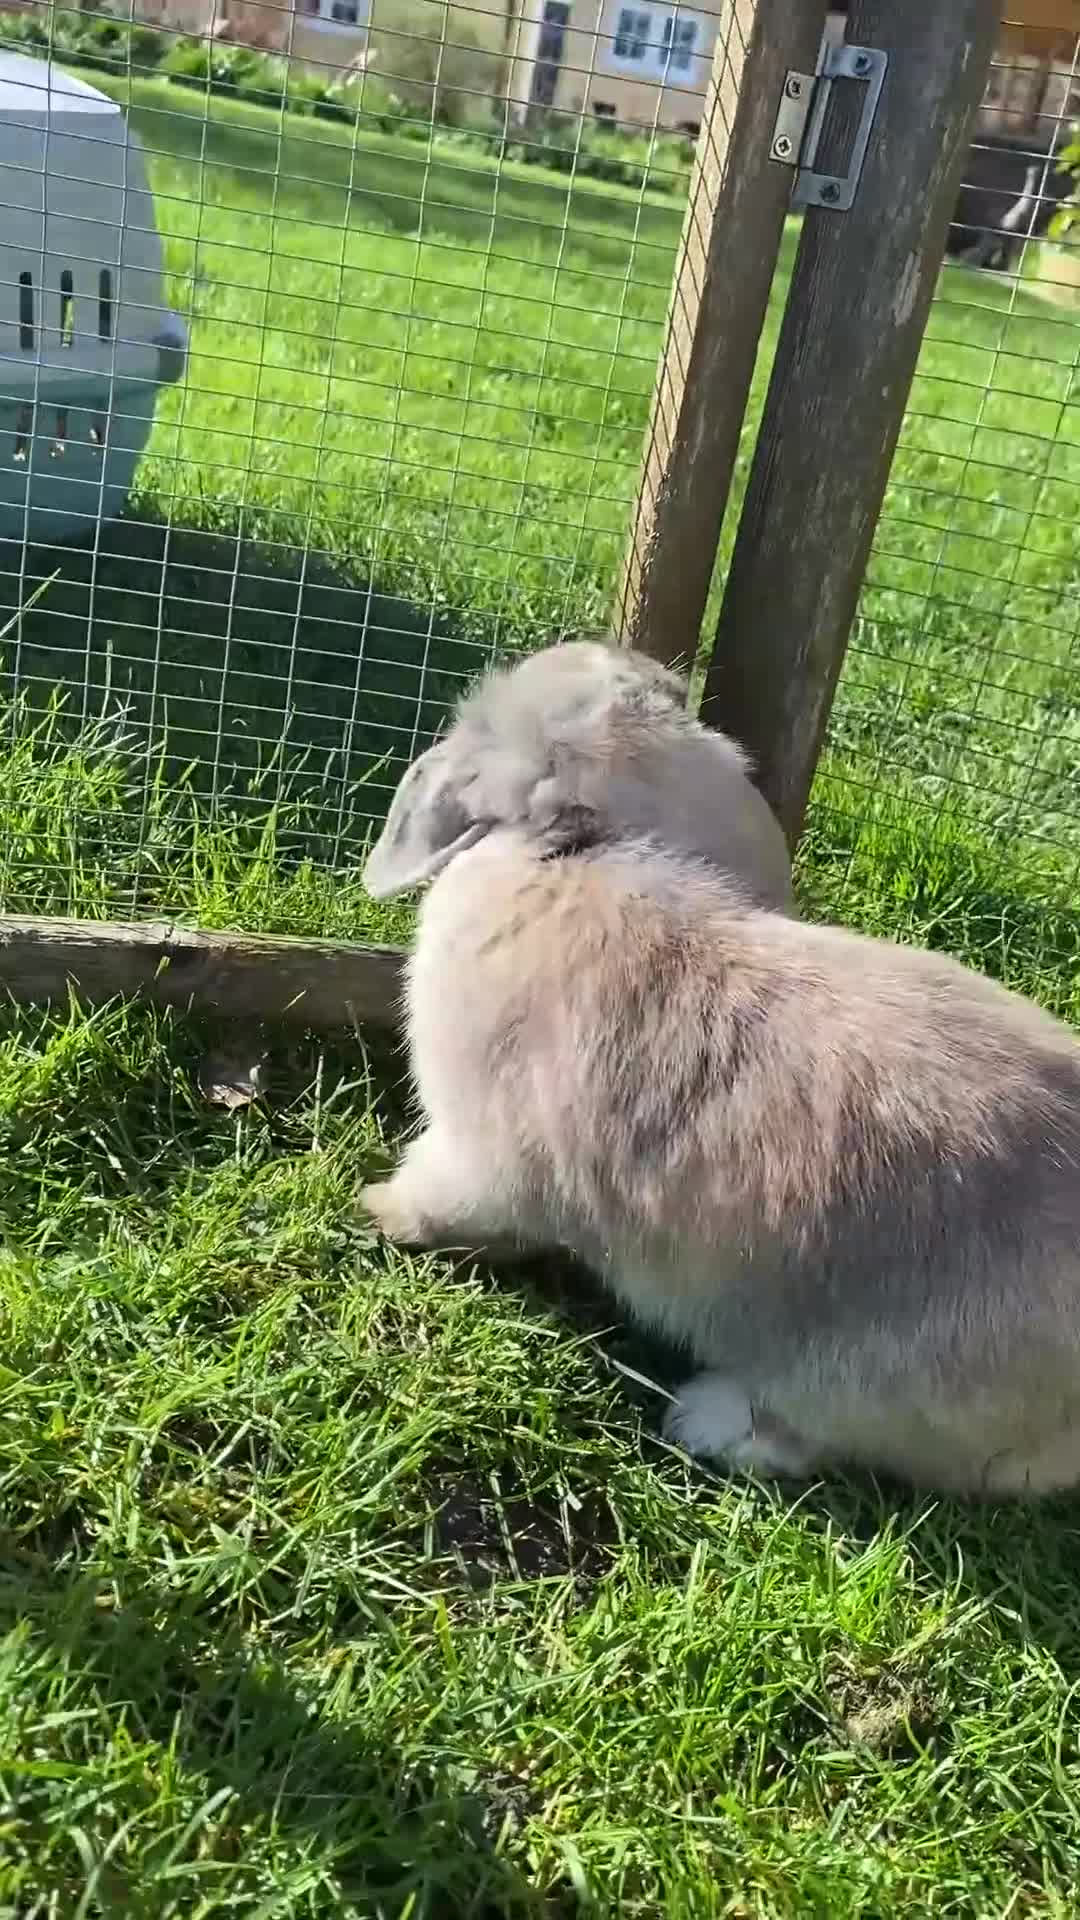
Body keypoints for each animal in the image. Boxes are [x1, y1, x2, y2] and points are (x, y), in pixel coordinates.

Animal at [361, 700, 1080, 1497]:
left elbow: (446, 1201)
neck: (571, 853)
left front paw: (377, 1207)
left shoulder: (481, 1159)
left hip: (876, 1380)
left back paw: (705, 1422)